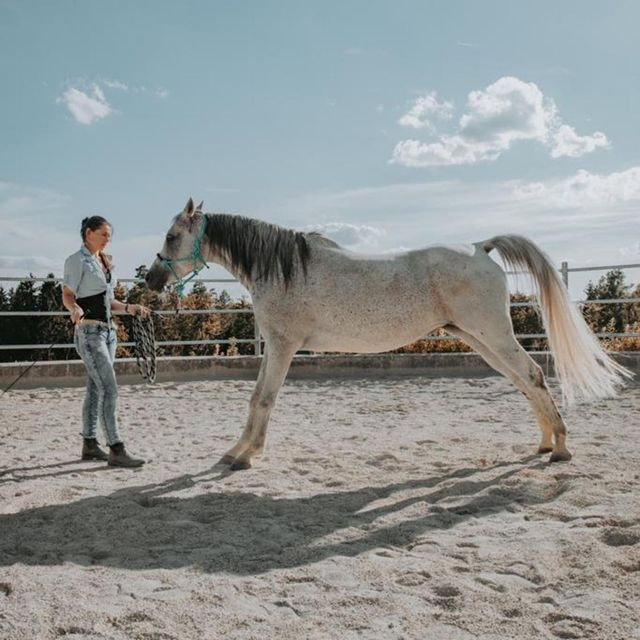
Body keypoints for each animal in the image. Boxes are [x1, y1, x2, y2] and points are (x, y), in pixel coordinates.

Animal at [145, 196, 632, 470]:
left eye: (171, 236)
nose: (151, 280)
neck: (284, 268)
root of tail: (481, 247)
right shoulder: (275, 347)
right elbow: (254, 398)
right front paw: (238, 451)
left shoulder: (282, 346)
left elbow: (264, 398)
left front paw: (244, 455)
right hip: (479, 338)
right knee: (525, 381)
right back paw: (544, 443)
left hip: (491, 334)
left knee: (531, 376)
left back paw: (561, 448)